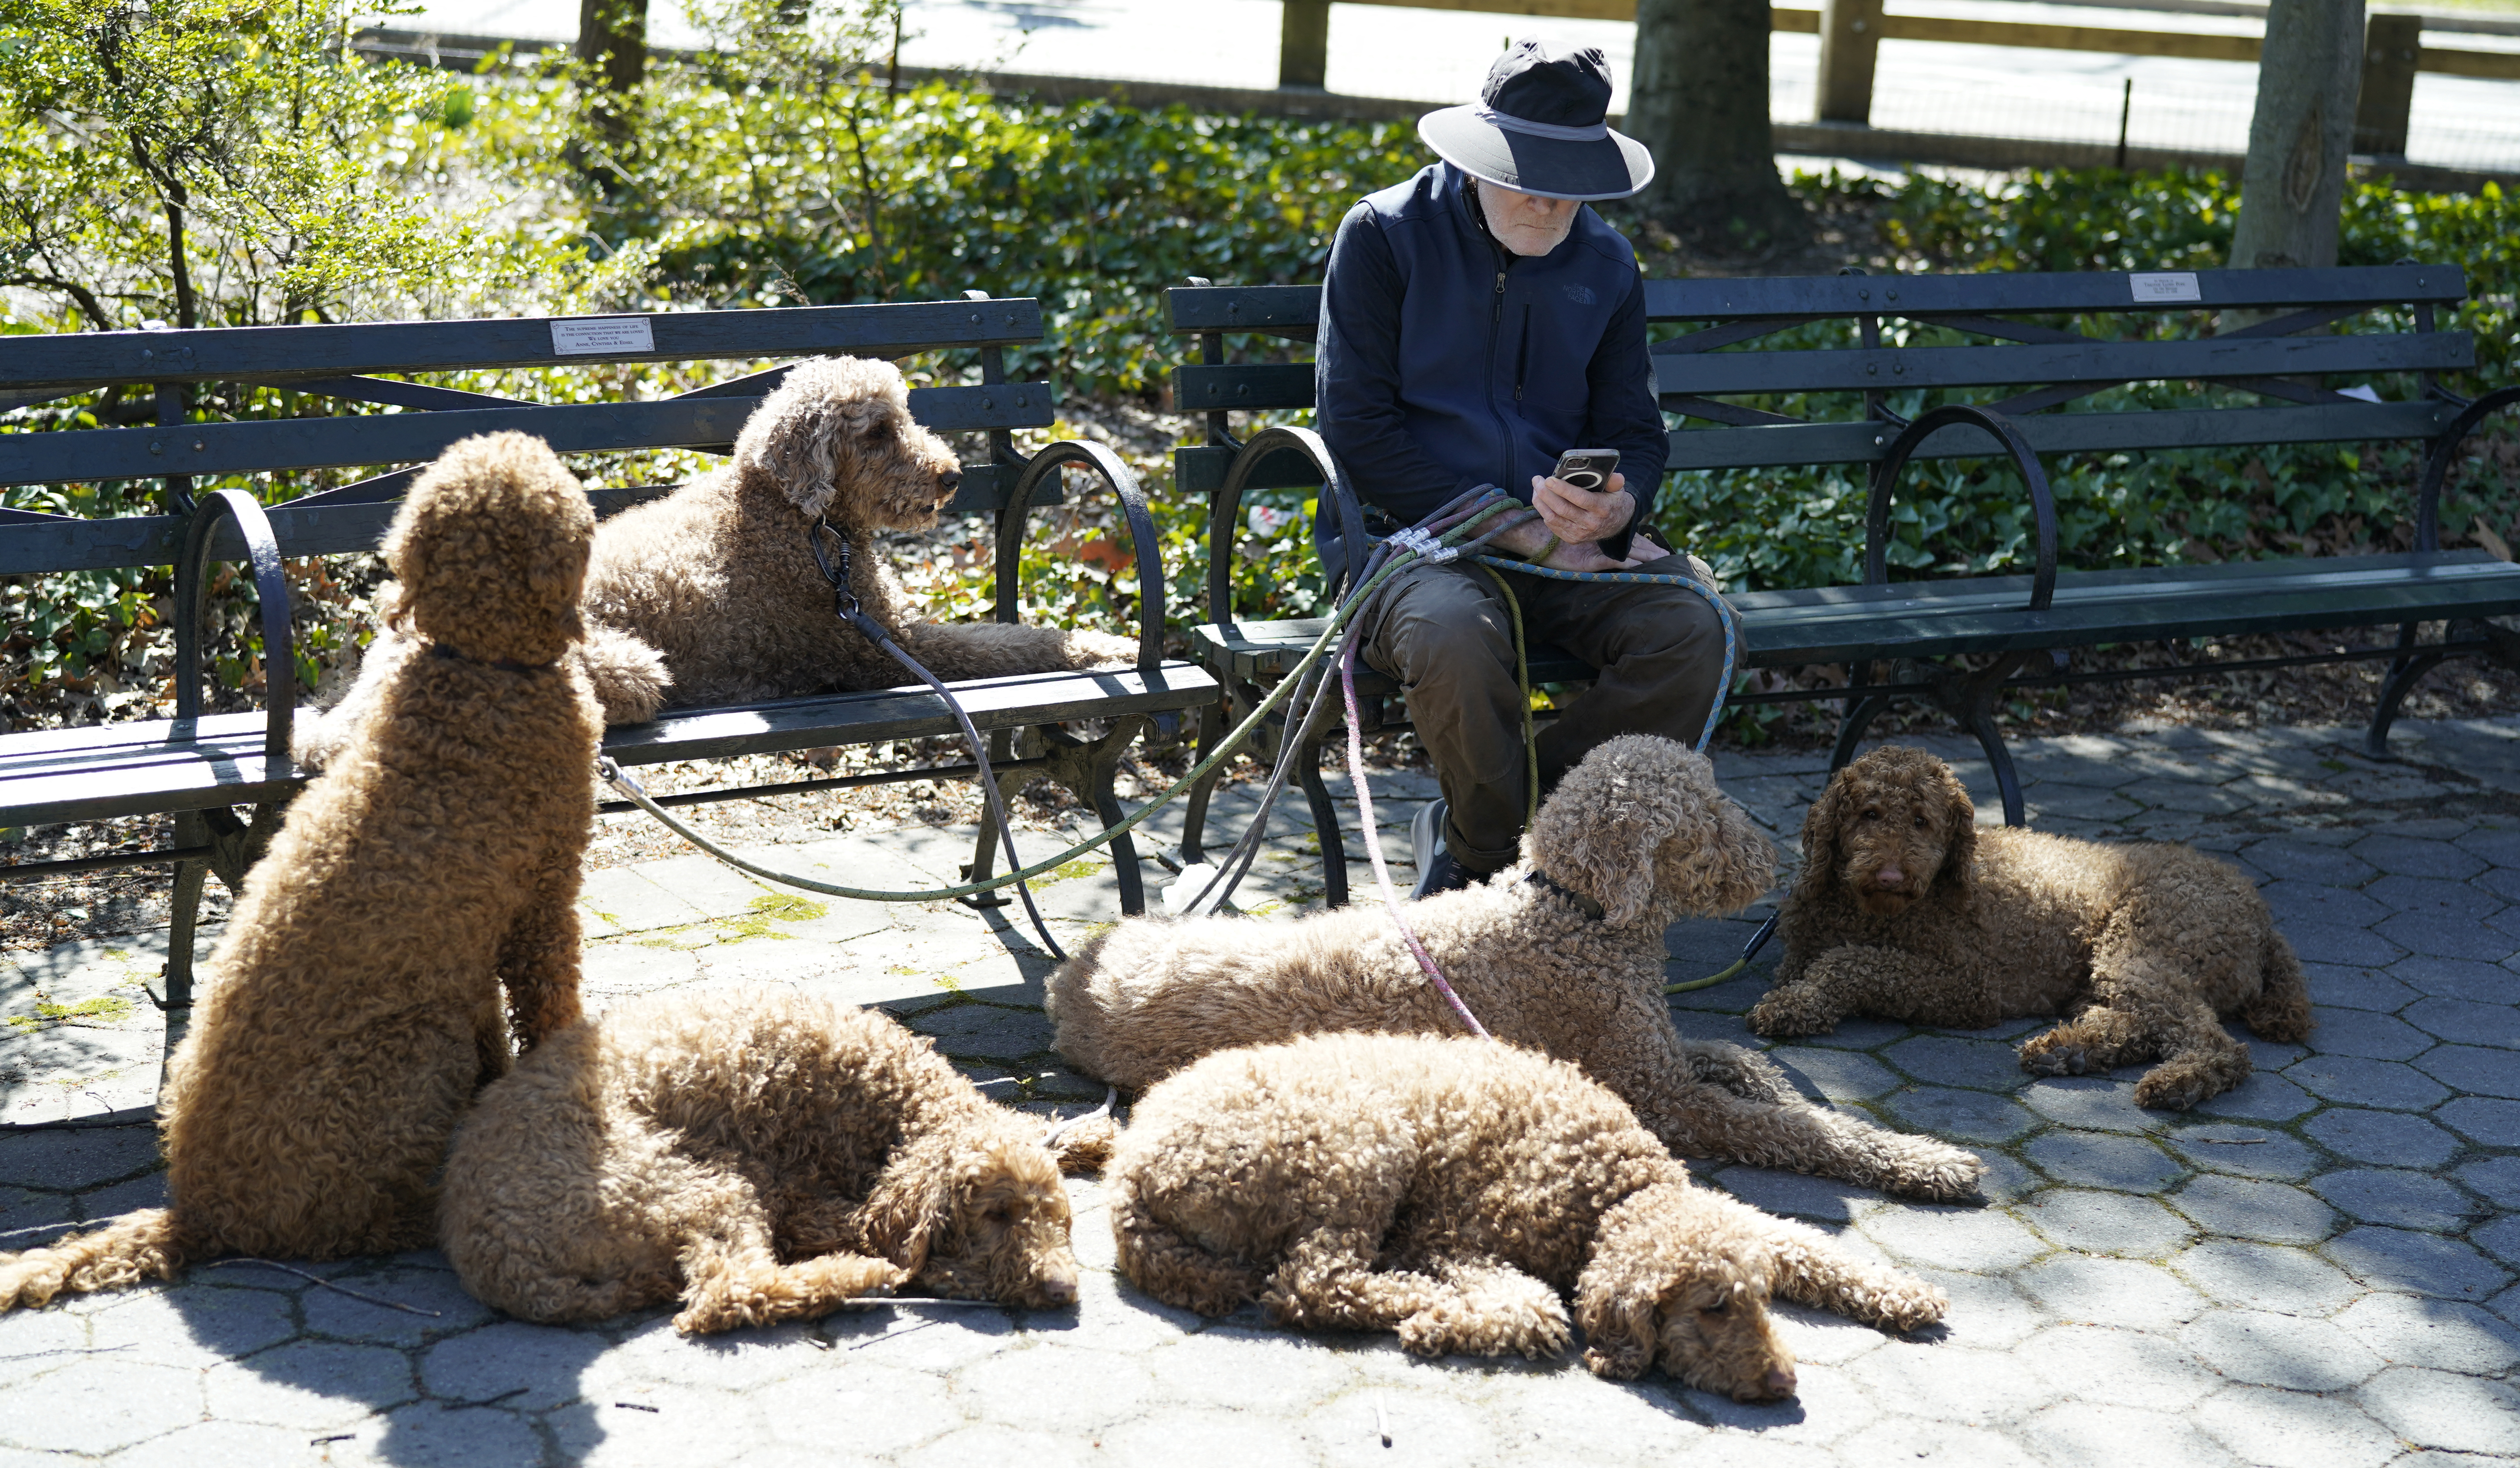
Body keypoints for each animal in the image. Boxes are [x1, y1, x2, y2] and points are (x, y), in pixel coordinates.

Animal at [0, 433, 605, 1309]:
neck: (476, 664)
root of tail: (201, 1211)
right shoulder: (542, 903)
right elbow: (550, 1007)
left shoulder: (479, 943)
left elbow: (499, 1020)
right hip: (414, 1048)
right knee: (343, 1224)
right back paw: (413, 1218)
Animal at [443, 982, 1093, 1339]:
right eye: (996, 1215)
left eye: (1058, 1217)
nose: (1062, 1288)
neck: (888, 1093)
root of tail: (497, 1262)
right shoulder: (790, 1192)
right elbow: (862, 1225)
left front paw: (1089, 1135)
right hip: (688, 1183)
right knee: (726, 1294)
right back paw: (854, 1275)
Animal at [1744, 750, 2308, 1108]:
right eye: (1870, 812)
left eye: (1923, 820)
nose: (1890, 875)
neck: (1869, 910)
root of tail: (2259, 913)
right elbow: (1814, 965)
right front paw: (1799, 998)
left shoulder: (1968, 985)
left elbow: (1854, 961)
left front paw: (1799, 1002)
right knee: (2144, 1023)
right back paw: (2070, 1050)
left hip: (2142, 946)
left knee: (2212, 1041)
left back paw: (2180, 1080)